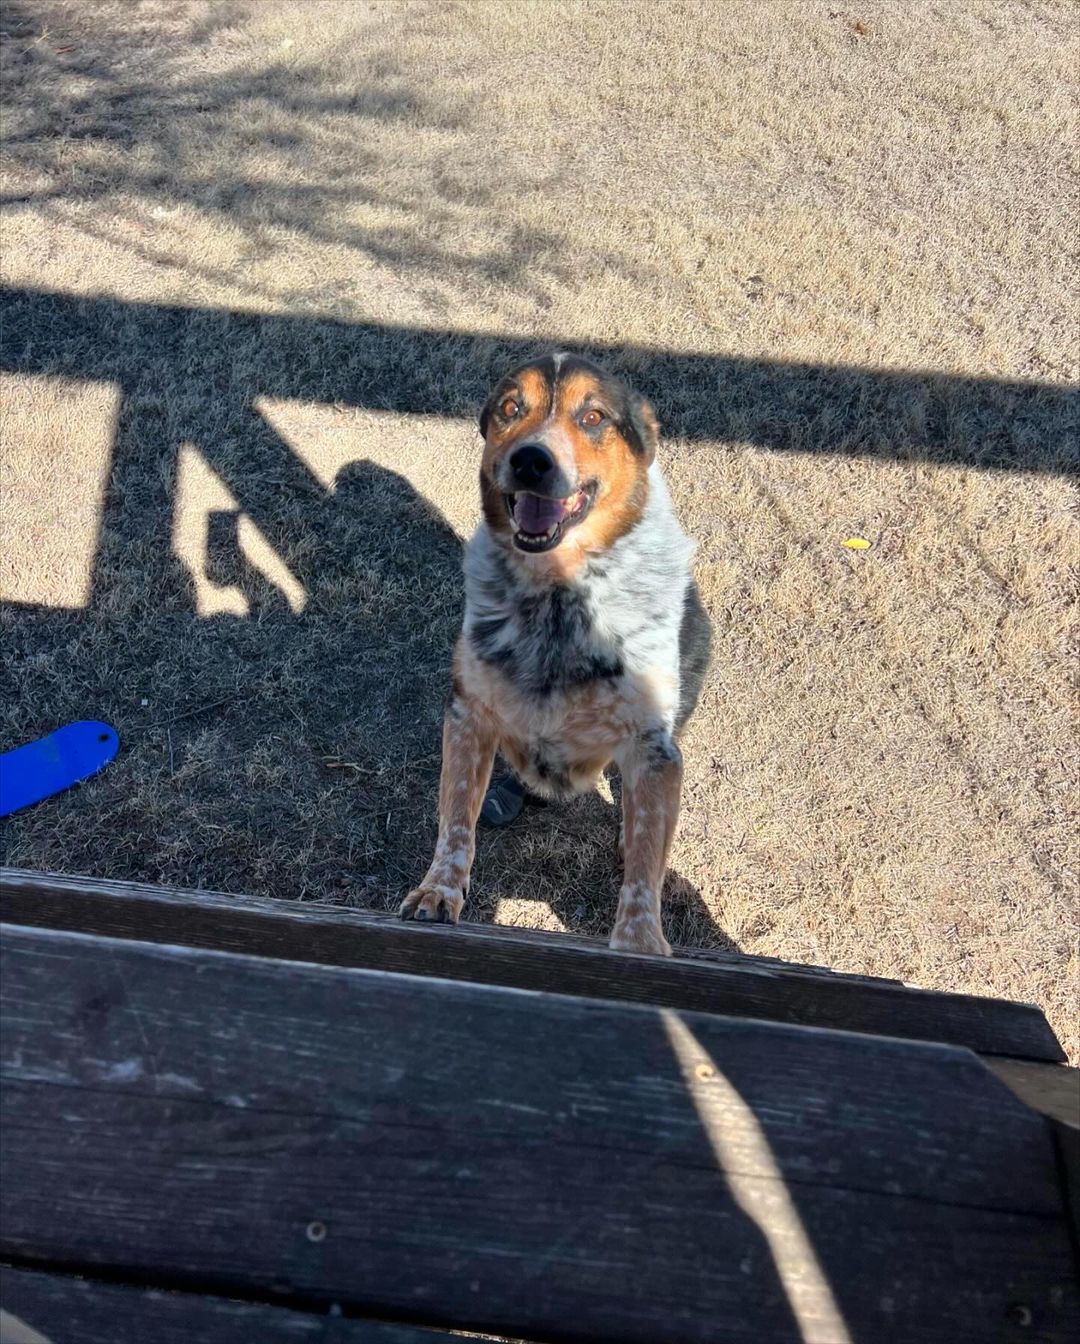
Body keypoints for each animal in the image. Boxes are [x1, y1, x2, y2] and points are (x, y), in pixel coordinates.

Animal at [400, 357, 714, 956]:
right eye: (510, 408)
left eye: (593, 417)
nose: (530, 460)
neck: (558, 598)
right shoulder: (468, 714)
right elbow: (455, 820)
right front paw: (438, 893)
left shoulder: (652, 746)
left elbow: (644, 868)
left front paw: (639, 941)